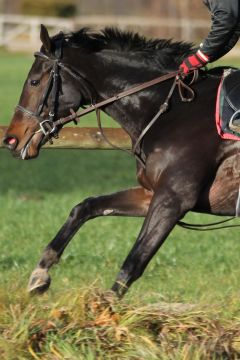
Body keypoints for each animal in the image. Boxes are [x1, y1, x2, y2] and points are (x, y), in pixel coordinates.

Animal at [3, 24, 240, 296]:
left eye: (34, 81)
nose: (11, 140)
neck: (172, 108)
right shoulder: (150, 194)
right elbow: (85, 207)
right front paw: (40, 272)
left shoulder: (173, 199)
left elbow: (134, 261)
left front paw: (105, 306)